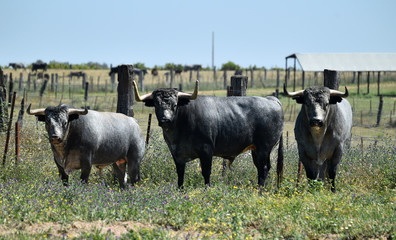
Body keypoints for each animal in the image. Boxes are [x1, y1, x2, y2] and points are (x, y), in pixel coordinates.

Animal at [135, 80, 284, 188]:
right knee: (262, 168)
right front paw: (180, 190)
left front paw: (207, 189)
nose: (165, 119)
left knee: (263, 168)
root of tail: (271, 100)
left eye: (175, 104)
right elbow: (180, 174)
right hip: (256, 149)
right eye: (156, 104)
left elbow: (206, 172)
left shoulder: (206, 150)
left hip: (264, 148)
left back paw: (260, 190)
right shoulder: (176, 154)